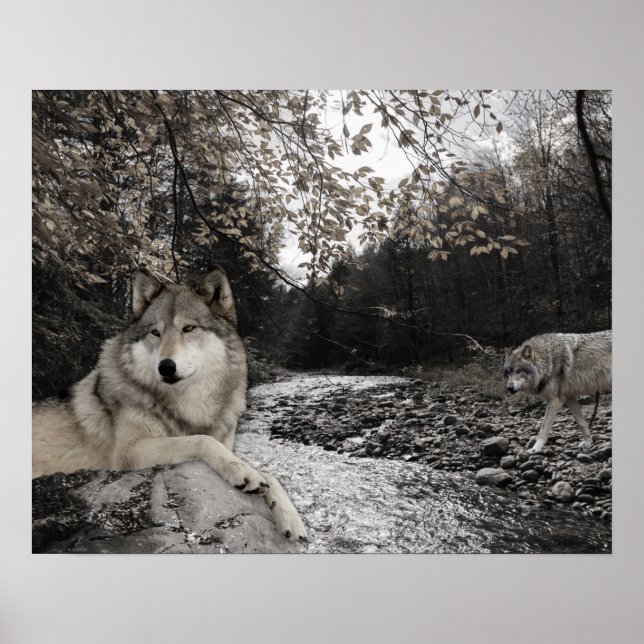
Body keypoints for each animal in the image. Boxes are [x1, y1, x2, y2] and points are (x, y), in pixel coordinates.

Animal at [32, 266, 307, 542]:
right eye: (156, 332)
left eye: (189, 328)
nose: (165, 367)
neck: (188, 405)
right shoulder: (129, 452)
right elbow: (202, 440)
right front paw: (242, 471)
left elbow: (269, 475)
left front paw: (291, 518)